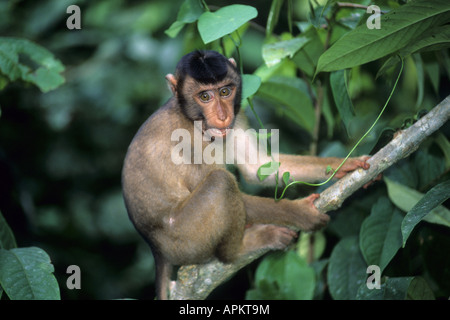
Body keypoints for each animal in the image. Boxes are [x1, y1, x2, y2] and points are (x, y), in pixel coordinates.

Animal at [121, 50, 370, 300]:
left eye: (225, 91)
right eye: (204, 96)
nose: (222, 116)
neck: (192, 119)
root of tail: (156, 250)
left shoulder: (237, 115)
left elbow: (257, 167)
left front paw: (344, 165)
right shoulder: (186, 141)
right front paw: (300, 212)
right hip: (185, 239)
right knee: (221, 182)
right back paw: (240, 249)